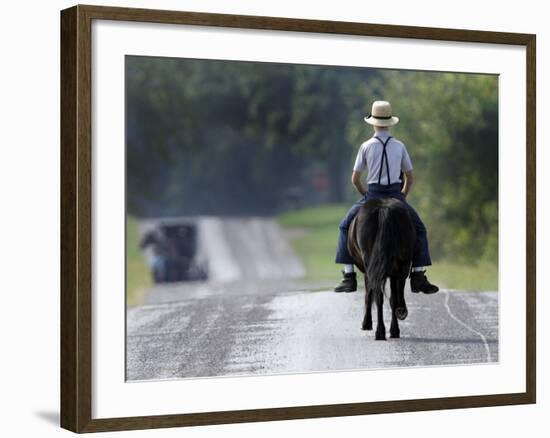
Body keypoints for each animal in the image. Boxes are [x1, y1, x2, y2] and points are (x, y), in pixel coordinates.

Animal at [350, 198, 418, 338]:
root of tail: (384, 208)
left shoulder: (369, 271)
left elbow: (369, 294)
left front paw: (366, 323)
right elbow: (392, 298)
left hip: (371, 266)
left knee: (378, 296)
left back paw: (380, 331)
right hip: (402, 265)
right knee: (394, 297)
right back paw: (397, 321)